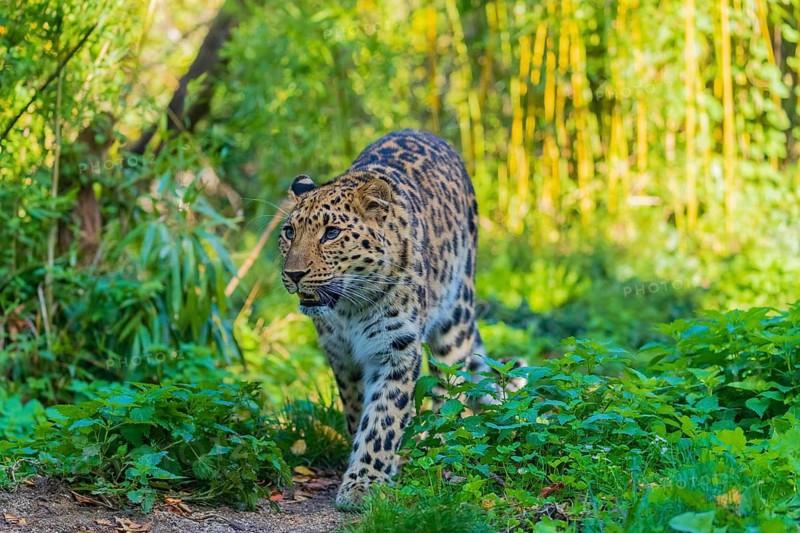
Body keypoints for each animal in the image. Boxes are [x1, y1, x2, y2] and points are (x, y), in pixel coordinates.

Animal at [278, 129, 507, 509]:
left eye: (331, 233)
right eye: (289, 232)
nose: (293, 274)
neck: (349, 308)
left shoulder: (396, 349)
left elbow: (384, 418)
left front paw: (365, 482)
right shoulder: (341, 355)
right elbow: (358, 409)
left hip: (455, 320)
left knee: (450, 389)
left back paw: (437, 443)